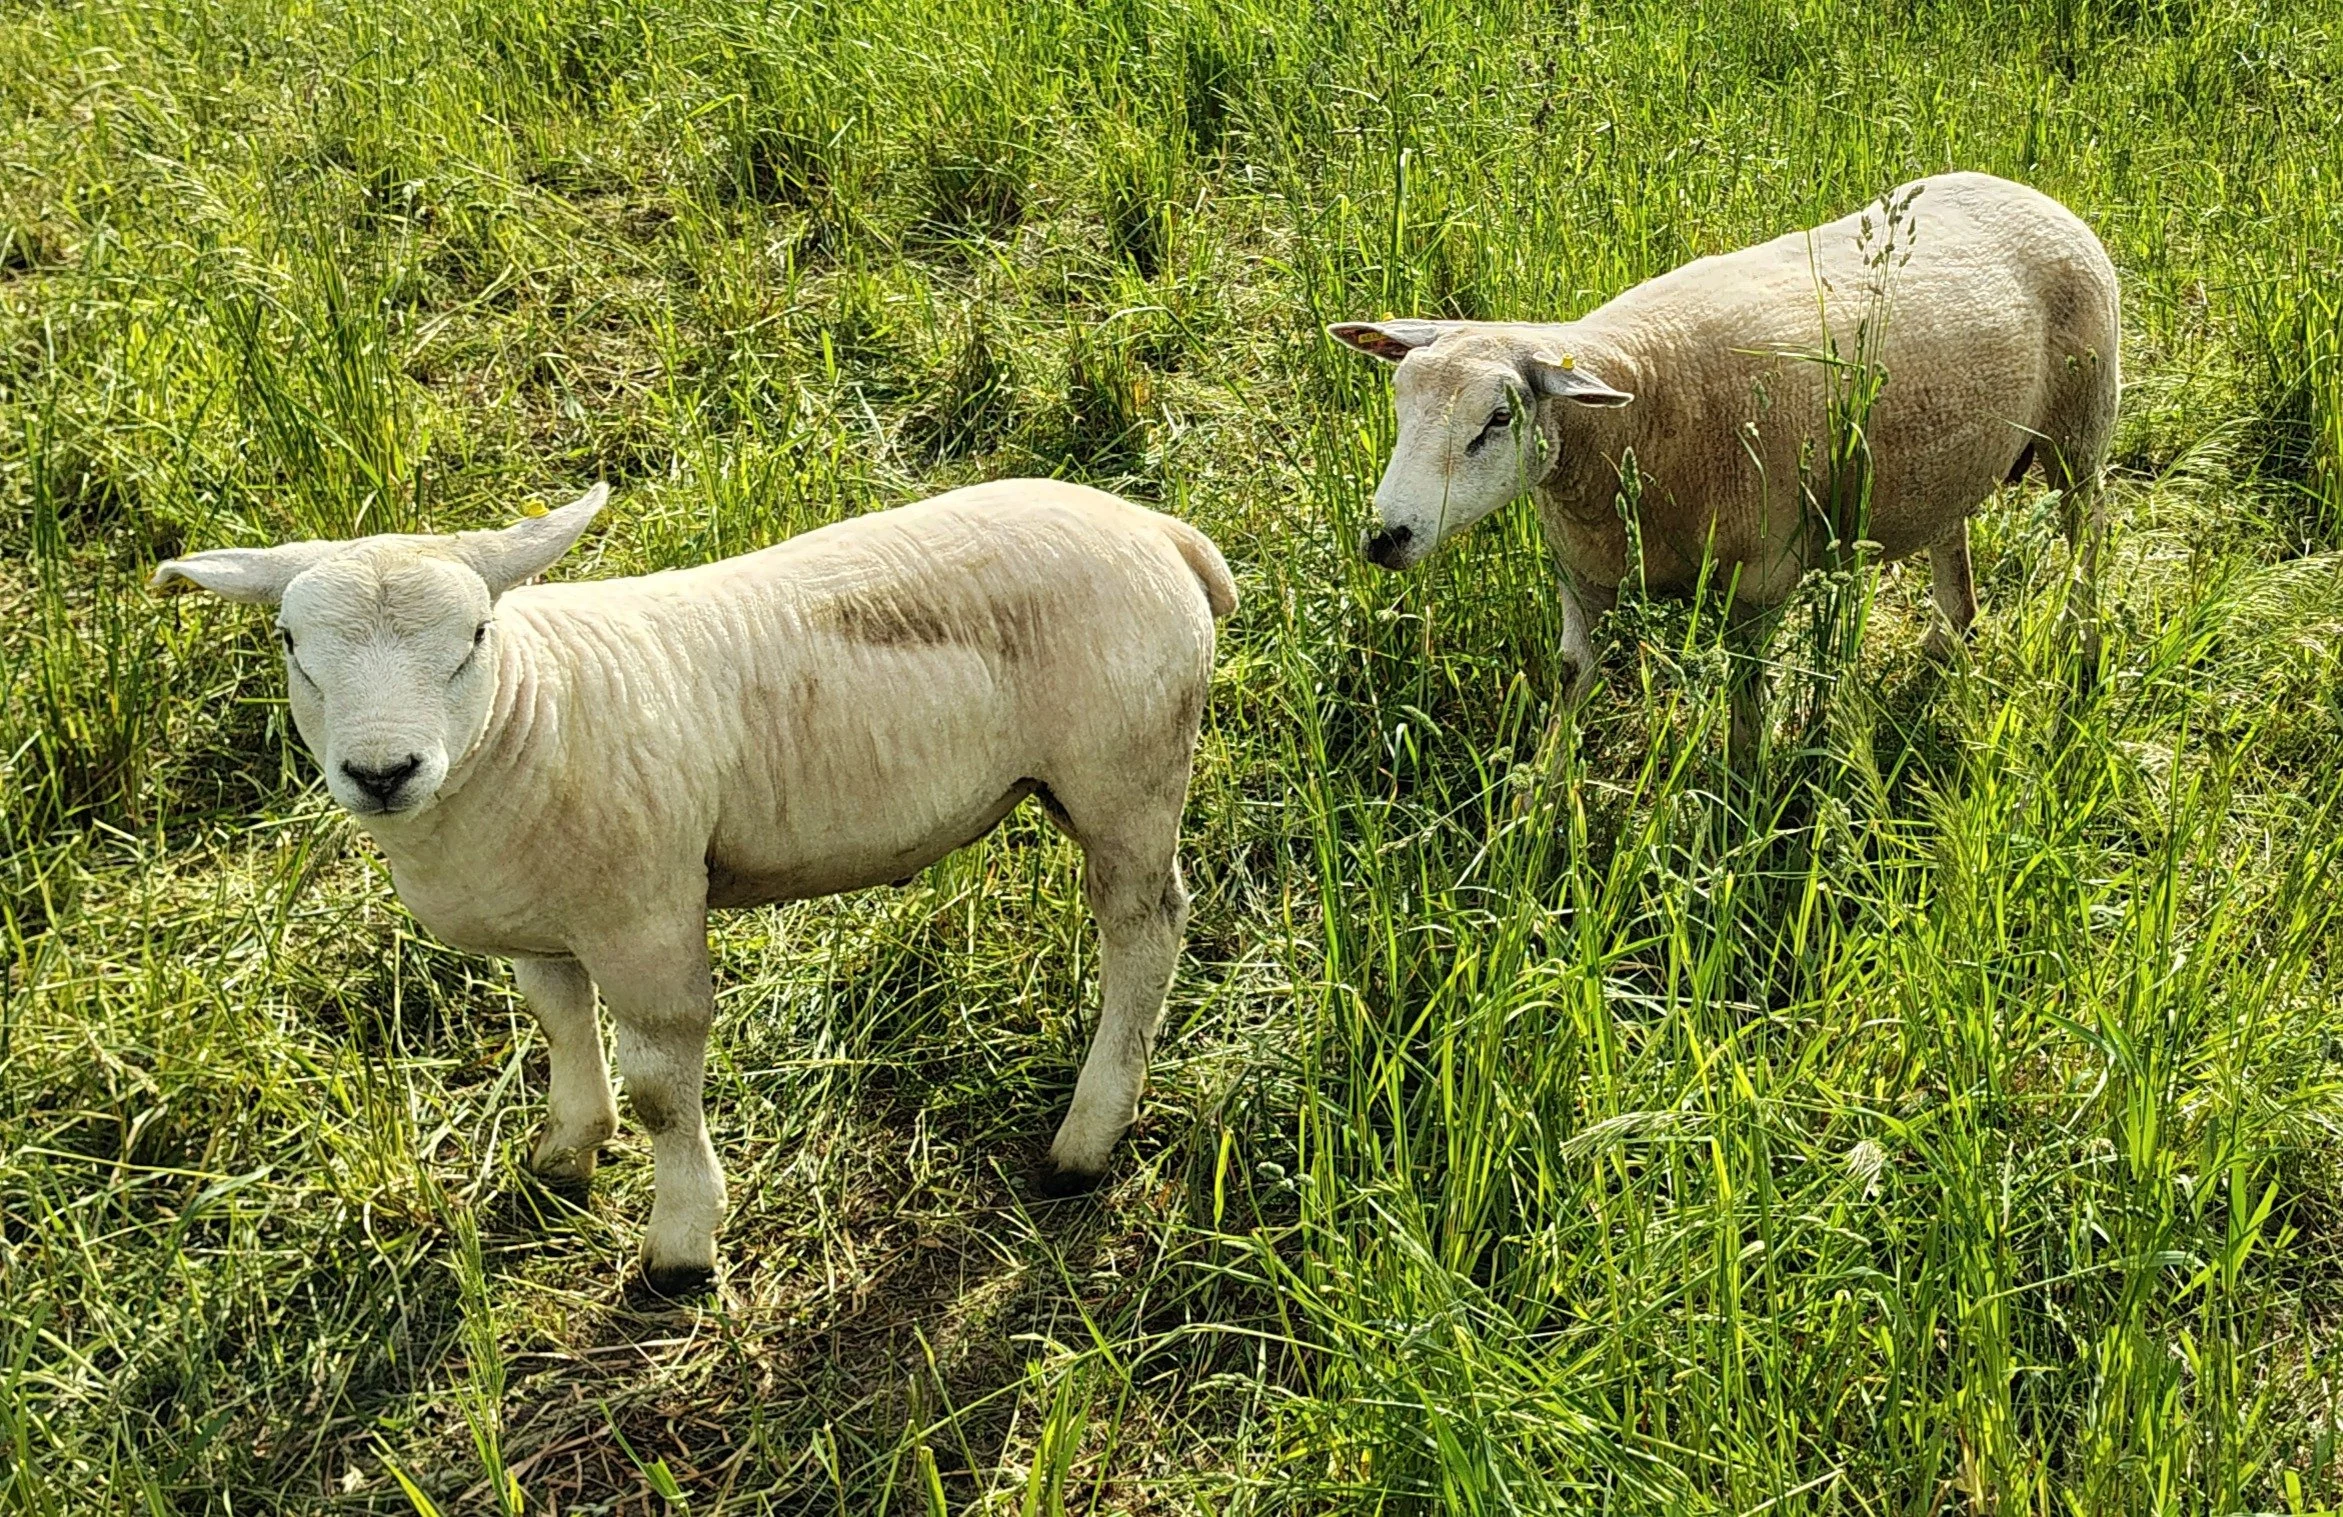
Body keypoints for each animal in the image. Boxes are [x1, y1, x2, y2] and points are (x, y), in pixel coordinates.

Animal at [152, 478, 1237, 1295]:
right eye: (290, 644)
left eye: (474, 634)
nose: (383, 771)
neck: (533, 714)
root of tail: (1161, 531)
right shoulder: (546, 920)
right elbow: (557, 1023)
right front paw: (564, 1151)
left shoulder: (646, 916)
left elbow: (661, 1090)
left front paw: (679, 1246)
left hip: (1125, 765)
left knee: (1144, 927)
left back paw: (1087, 1136)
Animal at [1331, 171, 2120, 755]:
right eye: (1398, 401)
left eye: (1498, 420)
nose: (1384, 537)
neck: (1636, 411)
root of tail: (2027, 191)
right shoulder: (1584, 575)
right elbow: (1568, 683)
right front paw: (1540, 809)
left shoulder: (1759, 582)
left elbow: (1744, 706)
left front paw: (1739, 806)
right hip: (1949, 457)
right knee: (1953, 546)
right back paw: (1943, 641)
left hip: (2081, 427)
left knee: (2086, 534)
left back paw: (2082, 646)